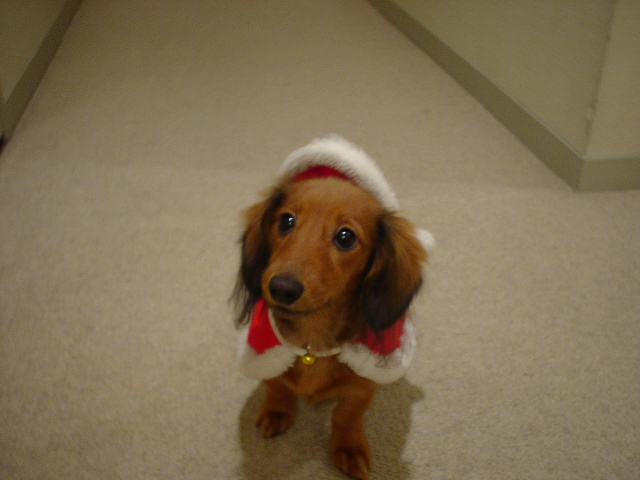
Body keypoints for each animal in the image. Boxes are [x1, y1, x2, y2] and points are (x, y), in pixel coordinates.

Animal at [233, 137, 433, 479]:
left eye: (345, 237)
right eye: (286, 221)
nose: (281, 288)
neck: (312, 343)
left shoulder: (362, 386)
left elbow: (346, 415)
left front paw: (348, 448)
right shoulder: (267, 352)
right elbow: (277, 385)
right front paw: (277, 411)